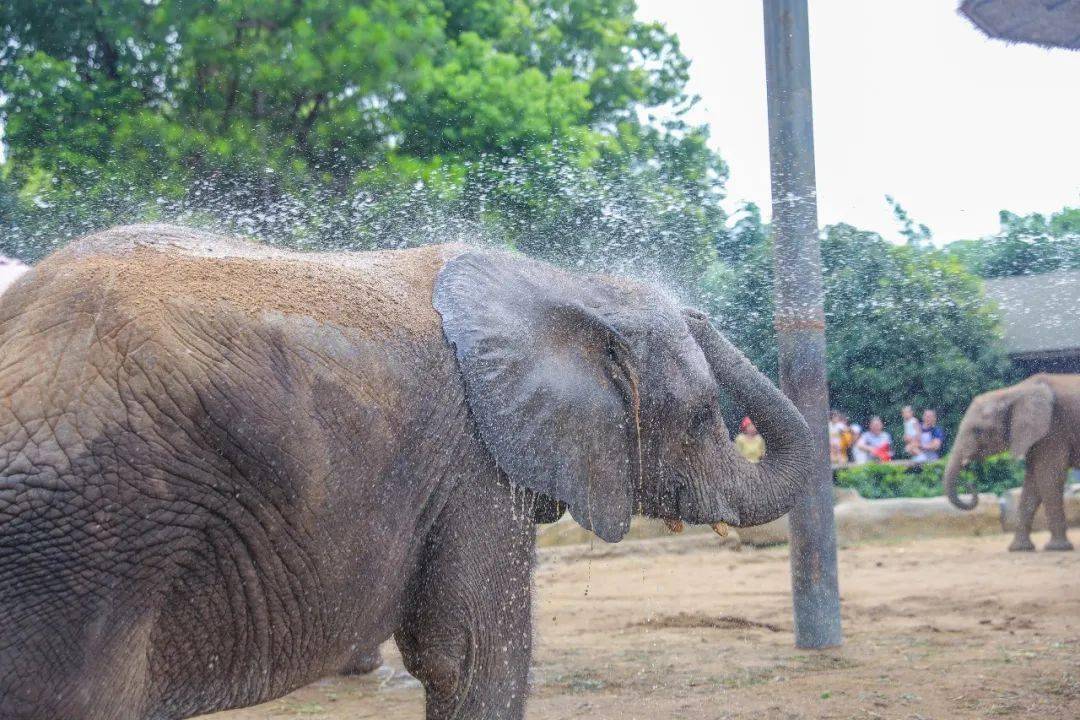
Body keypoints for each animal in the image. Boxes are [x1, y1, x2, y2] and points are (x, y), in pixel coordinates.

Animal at [0, 225, 812, 720]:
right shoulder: (475, 465)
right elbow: (473, 659)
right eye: (704, 416)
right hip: (85, 536)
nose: (696, 309)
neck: (561, 284)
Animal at [941, 371, 1080, 552]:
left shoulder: (1054, 429)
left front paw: (1057, 548)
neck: (1013, 392)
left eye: (978, 430)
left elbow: (1048, 478)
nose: (969, 481)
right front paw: (1019, 549)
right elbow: (1032, 484)